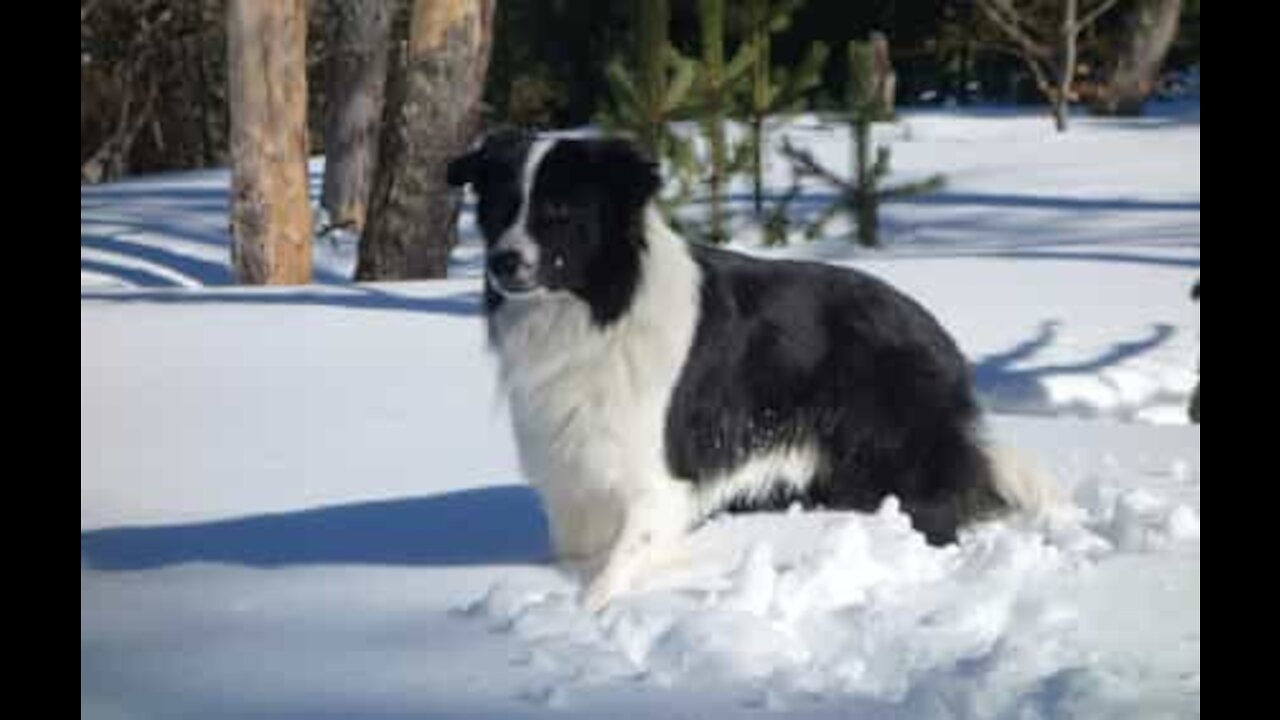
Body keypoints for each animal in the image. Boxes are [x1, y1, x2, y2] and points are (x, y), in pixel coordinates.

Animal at [445, 131, 1044, 607]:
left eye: (559, 211)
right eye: (499, 209)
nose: (502, 262)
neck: (597, 310)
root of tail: (937, 333)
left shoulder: (657, 476)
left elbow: (619, 564)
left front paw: (589, 611)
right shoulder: (572, 472)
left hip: (901, 453)